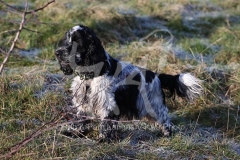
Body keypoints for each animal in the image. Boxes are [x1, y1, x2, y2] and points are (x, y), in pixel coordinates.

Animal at [54, 24, 202, 141]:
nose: (57, 53)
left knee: (165, 120)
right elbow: (78, 120)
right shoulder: (82, 103)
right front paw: (73, 133)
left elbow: (106, 125)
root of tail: (157, 76)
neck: (90, 76)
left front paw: (103, 139)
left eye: (77, 42)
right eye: (66, 40)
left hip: (155, 105)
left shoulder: (108, 105)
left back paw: (167, 135)